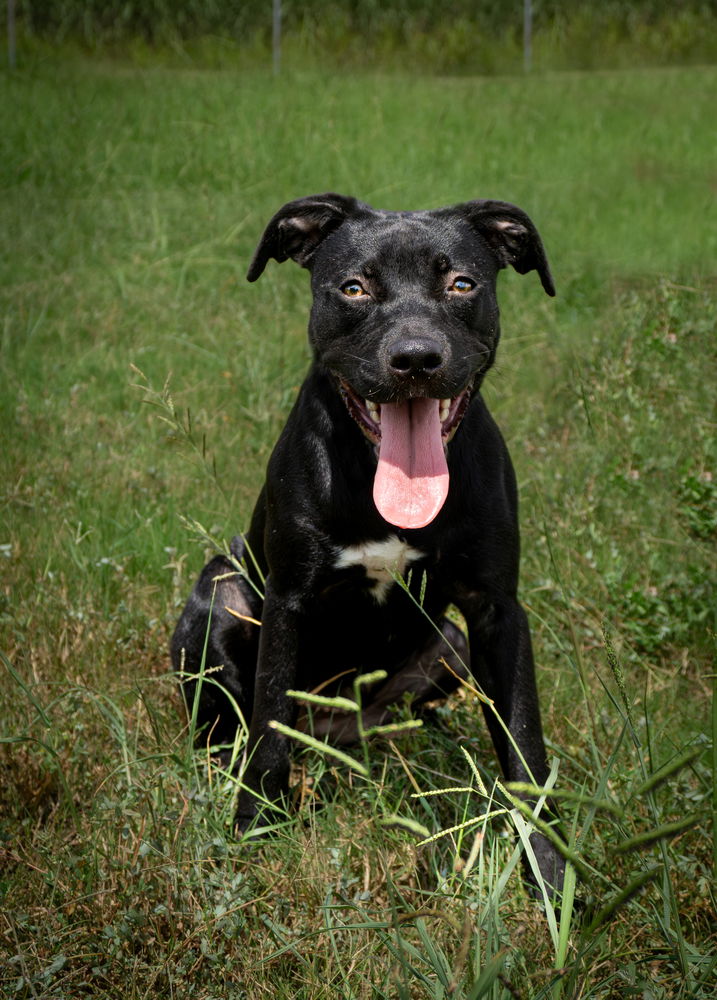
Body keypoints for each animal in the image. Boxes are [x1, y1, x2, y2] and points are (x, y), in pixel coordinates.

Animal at [173, 193, 564, 892]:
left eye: (461, 283)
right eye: (354, 288)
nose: (415, 358)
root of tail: (332, 728)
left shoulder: (496, 611)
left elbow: (524, 747)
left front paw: (548, 875)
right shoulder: (289, 600)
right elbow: (268, 727)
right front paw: (255, 829)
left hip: (450, 646)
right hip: (221, 590)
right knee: (232, 727)